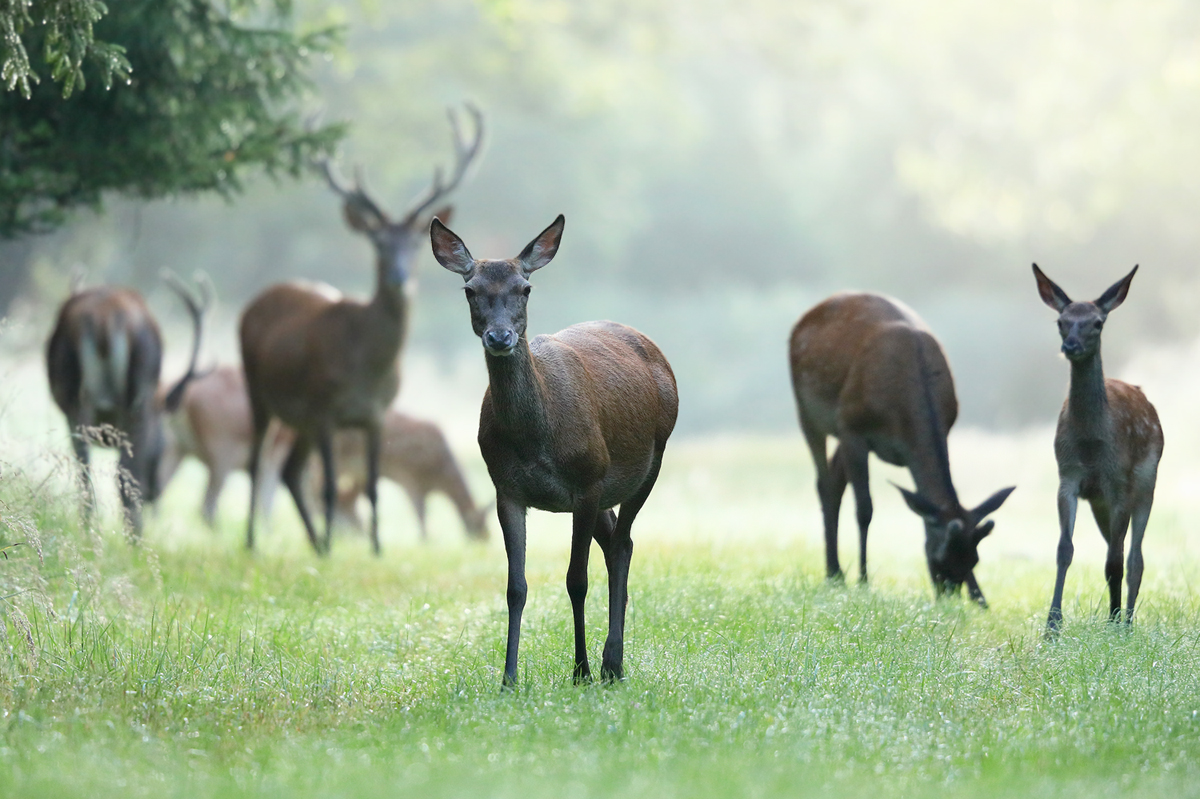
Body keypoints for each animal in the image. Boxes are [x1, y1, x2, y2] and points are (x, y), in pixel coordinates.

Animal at [47, 273, 208, 535]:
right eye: (164, 443)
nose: (156, 491)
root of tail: (104, 319)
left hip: (74, 396)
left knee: (84, 471)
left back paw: (88, 533)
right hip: (138, 398)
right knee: (125, 477)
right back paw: (135, 540)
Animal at [238, 104, 482, 554]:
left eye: (415, 243)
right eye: (378, 243)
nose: (400, 279)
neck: (366, 369)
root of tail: (259, 299)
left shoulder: (376, 414)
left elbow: (371, 487)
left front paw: (376, 549)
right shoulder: (324, 408)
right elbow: (332, 486)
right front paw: (336, 550)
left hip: (299, 420)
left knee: (291, 471)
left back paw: (314, 542)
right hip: (260, 391)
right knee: (259, 460)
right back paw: (253, 542)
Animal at [432, 213, 681, 686]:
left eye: (525, 287)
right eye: (470, 289)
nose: (499, 336)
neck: (536, 441)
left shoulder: (585, 481)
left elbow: (575, 580)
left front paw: (580, 671)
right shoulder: (506, 489)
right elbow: (516, 587)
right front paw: (509, 678)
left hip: (646, 461)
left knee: (622, 545)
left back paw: (611, 663)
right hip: (604, 486)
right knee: (617, 540)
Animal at [787, 292, 1012, 604]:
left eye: (974, 559)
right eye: (939, 556)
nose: (949, 596)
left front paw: (981, 599)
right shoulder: (854, 429)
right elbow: (865, 509)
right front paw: (864, 580)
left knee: (833, 481)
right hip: (810, 412)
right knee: (823, 483)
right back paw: (835, 572)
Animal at [1032, 263, 1161, 633]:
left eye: (1098, 322)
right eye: (1061, 321)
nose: (1071, 345)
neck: (1090, 445)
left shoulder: (1118, 483)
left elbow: (1116, 560)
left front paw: (1117, 623)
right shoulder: (1068, 477)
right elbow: (1065, 549)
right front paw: (1052, 625)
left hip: (1146, 482)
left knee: (1134, 556)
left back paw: (1126, 620)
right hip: (1100, 502)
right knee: (1116, 550)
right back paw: (1117, 614)